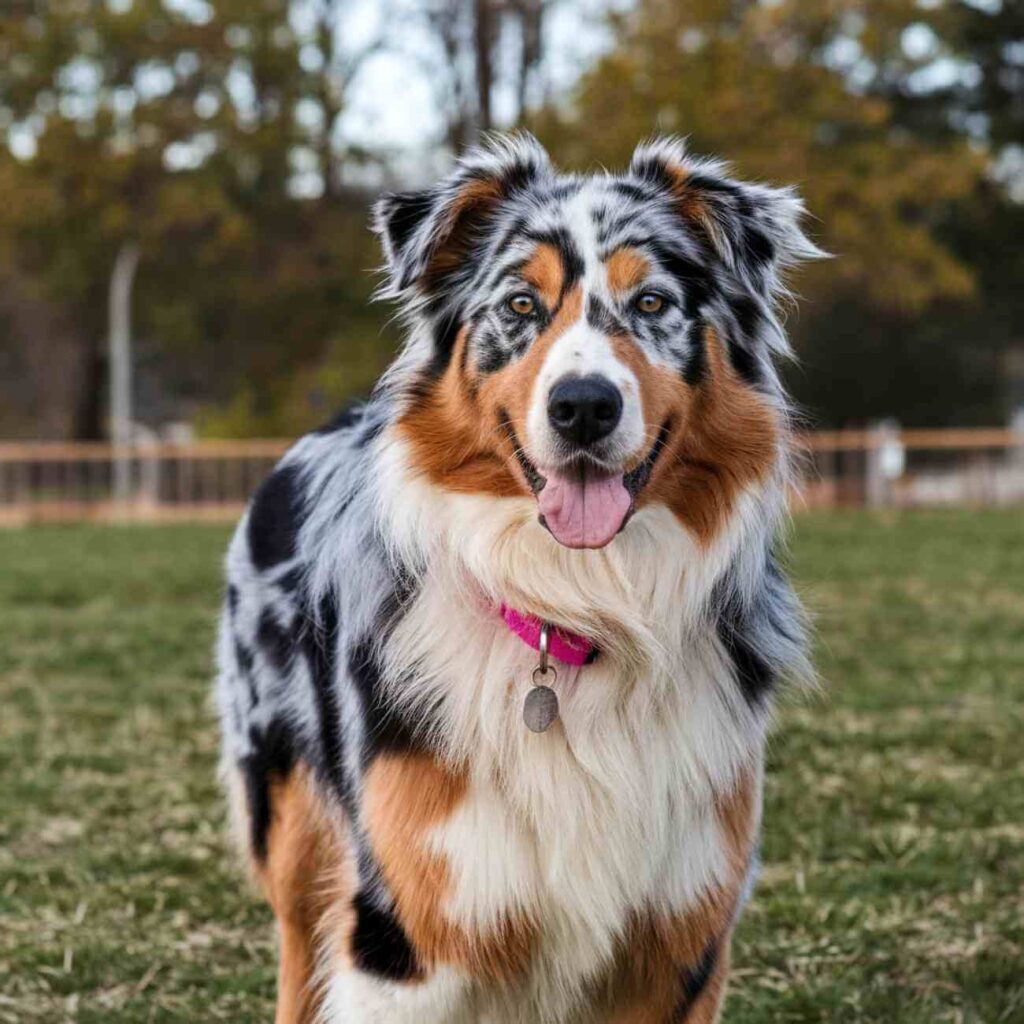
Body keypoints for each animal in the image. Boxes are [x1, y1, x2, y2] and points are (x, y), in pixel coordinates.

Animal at [214, 136, 823, 1024]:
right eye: (520, 306)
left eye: (651, 302)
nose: (583, 406)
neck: (581, 610)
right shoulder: (409, 936)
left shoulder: (680, 941)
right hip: (294, 824)